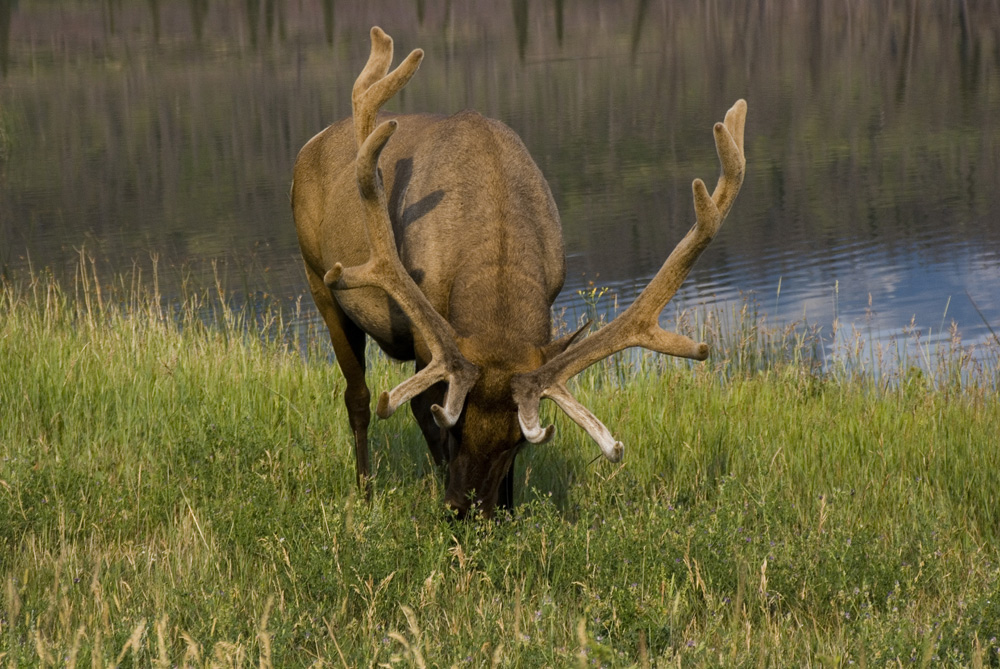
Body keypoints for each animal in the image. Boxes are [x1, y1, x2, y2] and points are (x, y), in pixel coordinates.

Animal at [290, 26, 744, 520]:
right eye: (453, 428)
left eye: (516, 445)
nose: (464, 508)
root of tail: (309, 145)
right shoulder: (426, 338)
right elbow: (417, 407)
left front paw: (507, 513)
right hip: (320, 279)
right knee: (357, 396)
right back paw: (365, 491)